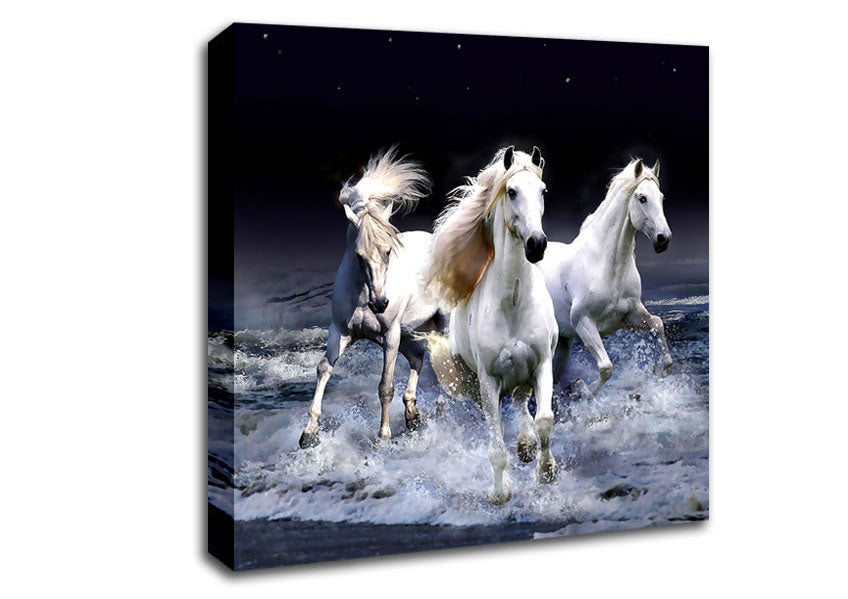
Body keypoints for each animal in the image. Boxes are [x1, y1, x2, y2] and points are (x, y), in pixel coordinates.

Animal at [299, 147, 446, 448]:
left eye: (388, 251)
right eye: (358, 255)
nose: (380, 303)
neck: (363, 293)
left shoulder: (390, 336)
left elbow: (385, 386)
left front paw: (384, 436)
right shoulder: (341, 331)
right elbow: (323, 369)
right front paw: (309, 433)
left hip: (439, 324)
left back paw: (440, 409)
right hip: (409, 333)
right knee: (418, 359)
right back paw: (413, 415)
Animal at [424, 146, 559, 504]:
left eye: (543, 191)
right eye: (511, 191)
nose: (536, 244)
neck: (512, 302)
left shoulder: (542, 364)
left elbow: (544, 420)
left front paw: (546, 472)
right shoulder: (489, 380)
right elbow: (496, 447)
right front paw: (500, 493)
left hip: (524, 374)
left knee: (521, 402)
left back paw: (526, 447)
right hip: (478, 385)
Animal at [538, 158, 673, 398]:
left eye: (661, 197)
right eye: (642, 198)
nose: (663, 239)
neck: (606, 267)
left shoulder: (630, 316)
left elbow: (657, 324)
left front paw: (659, 370)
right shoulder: (584, 323)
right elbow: (606, 367)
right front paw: (582, 389)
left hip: (563, 341)